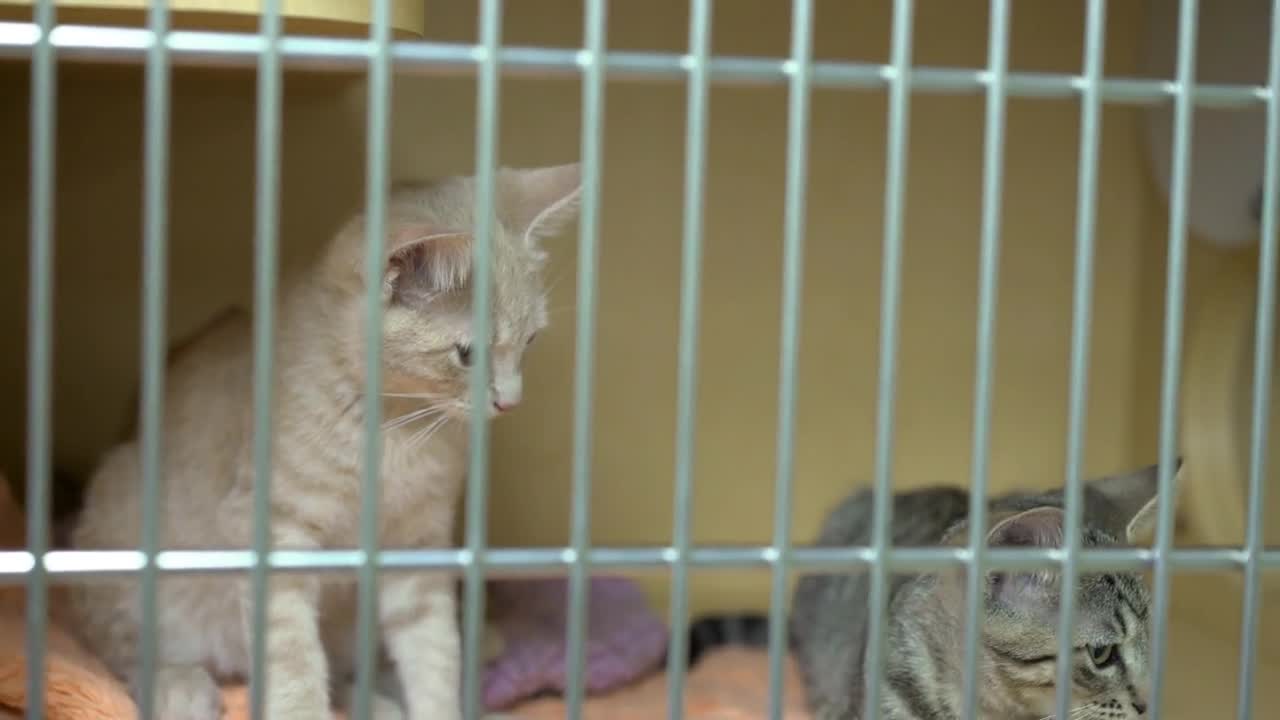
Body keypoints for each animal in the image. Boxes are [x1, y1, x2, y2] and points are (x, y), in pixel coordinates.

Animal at [67, 162, 583, 717]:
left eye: (530, 341)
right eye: (466, 354)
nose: (511, 401)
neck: (396, 430)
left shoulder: (417, 545)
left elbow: (434, 650)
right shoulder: (273, 535)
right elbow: (293, 661)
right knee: (117, 647)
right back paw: (176, 683)